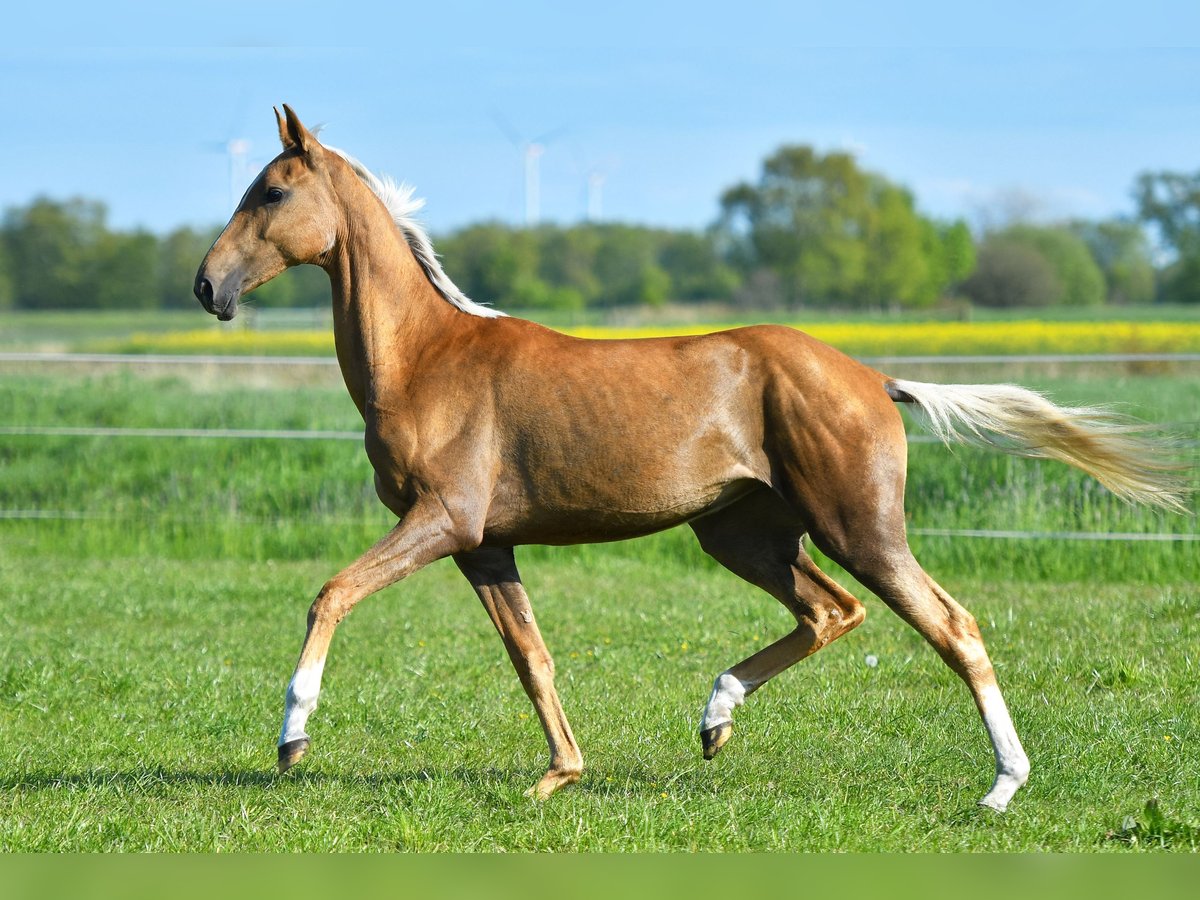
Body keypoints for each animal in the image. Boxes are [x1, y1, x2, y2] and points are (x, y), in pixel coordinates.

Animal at [194, 105, 1180, 811]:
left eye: (271, 192)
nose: (208, 287)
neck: (429, 359)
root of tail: (873, 377)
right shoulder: (485, 545)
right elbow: (532, 657)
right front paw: (559, 774)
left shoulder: (442, 521)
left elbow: (332, 594)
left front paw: (291, 737)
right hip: (743, 534)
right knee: (831, 612)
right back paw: (715, 717)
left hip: (857, 526)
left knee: (951, 625)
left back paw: (1002, 787)